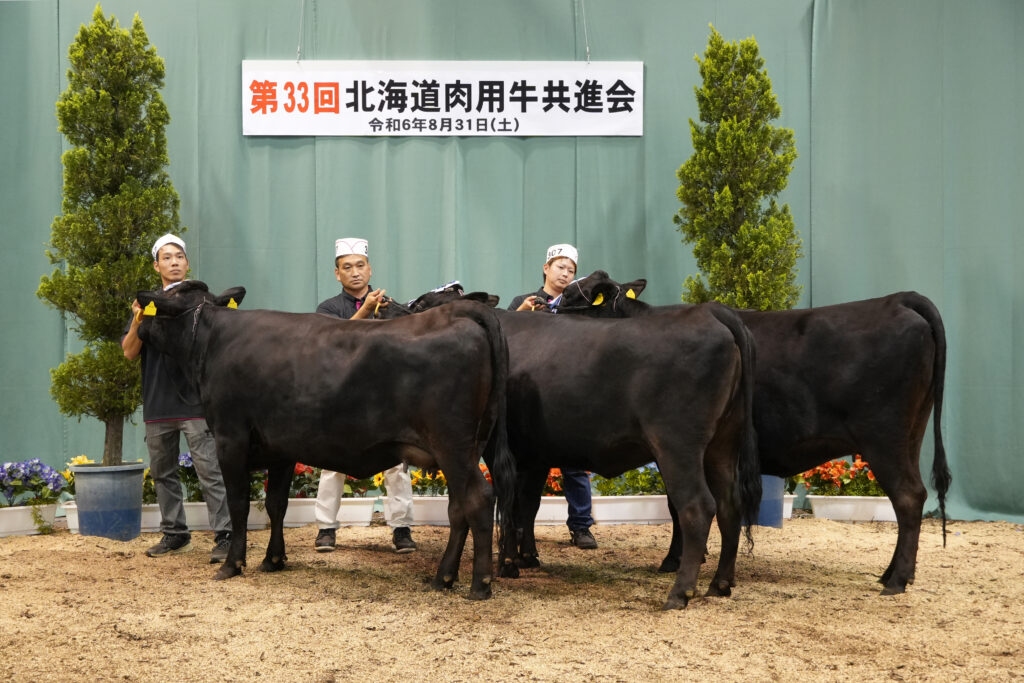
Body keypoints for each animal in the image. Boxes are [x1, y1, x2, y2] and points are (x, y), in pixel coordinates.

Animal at [136, 280, 516, 602]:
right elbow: (276, 504)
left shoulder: (231, 438)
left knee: (478, 500)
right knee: (458, 508)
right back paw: (443, 578)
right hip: (466, 448)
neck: (215, 341)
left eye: (159, 305)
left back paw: (479, 585)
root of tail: (457, 312)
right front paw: (274, 559)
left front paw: (232, 564)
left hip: (453, 445)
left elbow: (239, 505)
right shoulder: (281, 449)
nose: (138, 322)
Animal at [552, 270, 950, 593]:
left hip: (884, 438)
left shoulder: (671, 445)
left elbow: (676, 505)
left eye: (572, 295)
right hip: (912, 434)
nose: (546, 305)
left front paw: (674, 561)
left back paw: (897, 581)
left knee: (908, 496)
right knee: (911, 498)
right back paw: (891, 573)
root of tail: (898, 299)